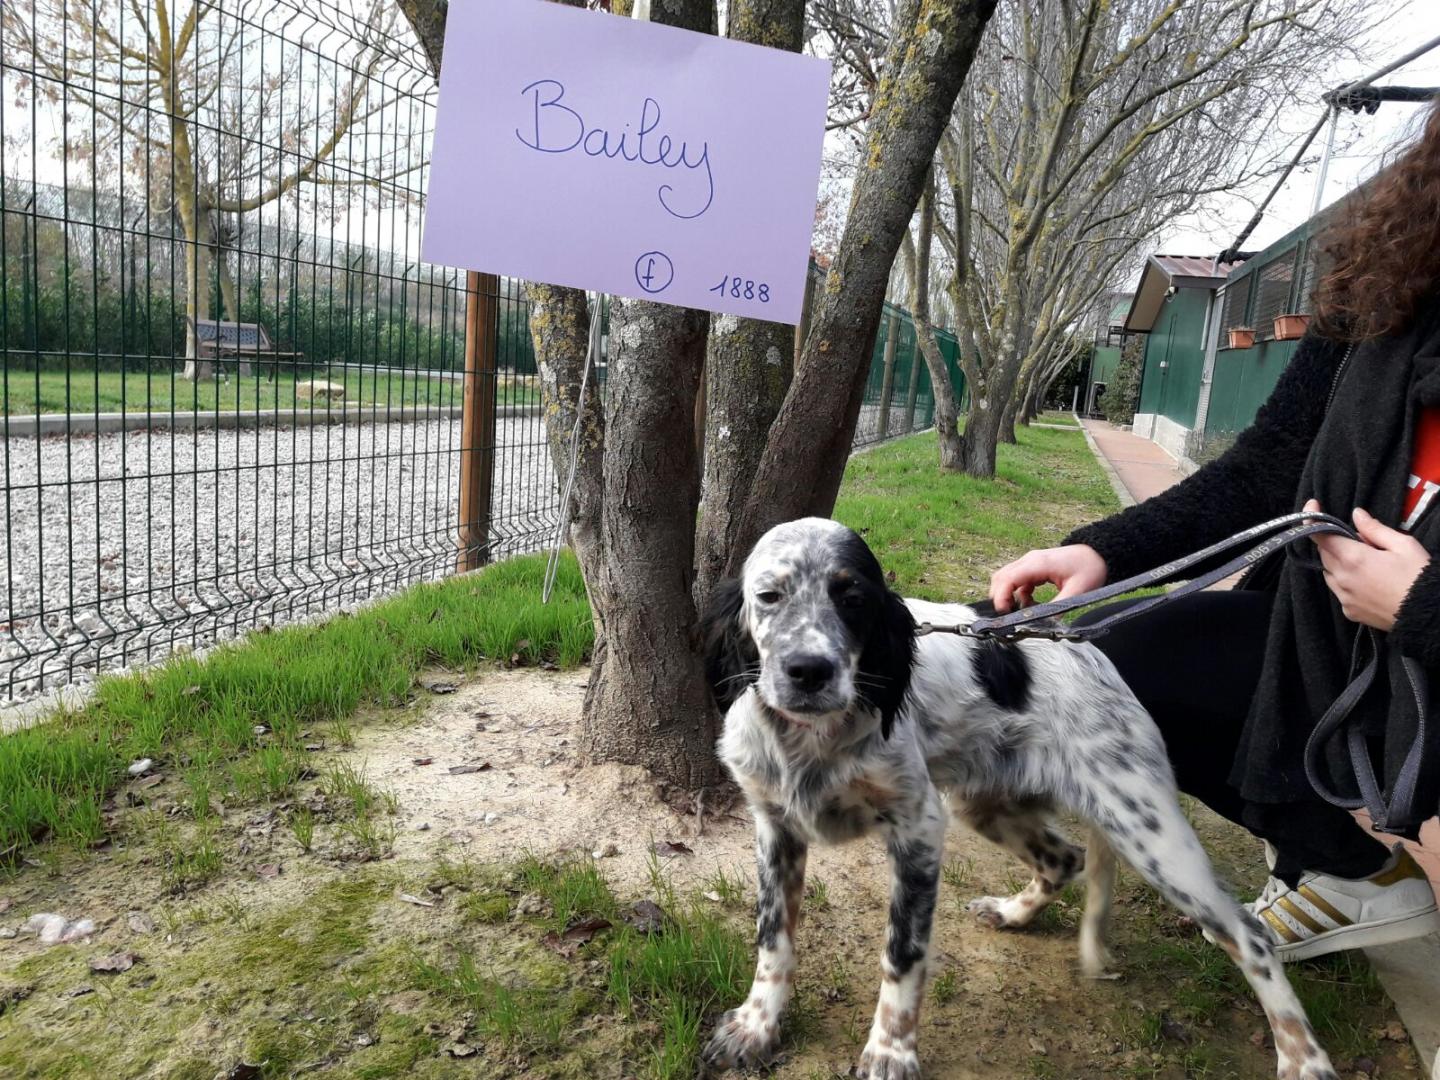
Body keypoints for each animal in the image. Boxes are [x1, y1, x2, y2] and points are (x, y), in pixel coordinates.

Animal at [697, 518, 1338, 1080]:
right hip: (984, 803)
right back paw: (1013, 913)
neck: (814, 740)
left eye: (852, 598)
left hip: (1148, 831)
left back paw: (1304, 1061)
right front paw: (756, 1027)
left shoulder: (918, 830)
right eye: (769, 595)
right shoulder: (776, 828)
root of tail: (1082, 644)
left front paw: (890, 1051)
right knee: (1065, 857)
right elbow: (773, 940)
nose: (809, 671)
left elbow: (902, 954)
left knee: (1252, 939)